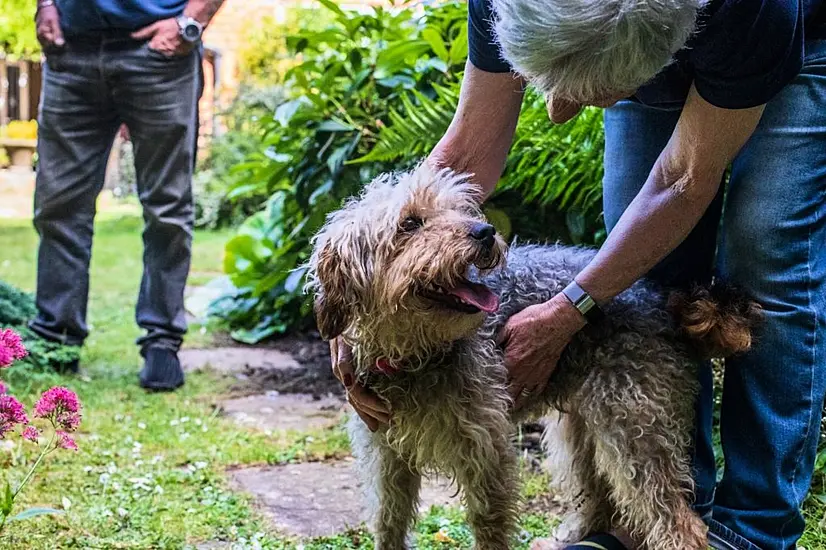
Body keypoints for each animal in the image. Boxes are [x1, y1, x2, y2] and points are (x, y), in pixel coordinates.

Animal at [306, 166, 764, 548]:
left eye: (458, 209)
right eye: (410, 223)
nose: (485, 231)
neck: (416, 356)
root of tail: (662, 299)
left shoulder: (485, 450)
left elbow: (489, 524)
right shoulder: (386, 455)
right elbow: (388, 522)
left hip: (634, 431)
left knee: (679, 523)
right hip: (579, 431)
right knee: (599, 499)